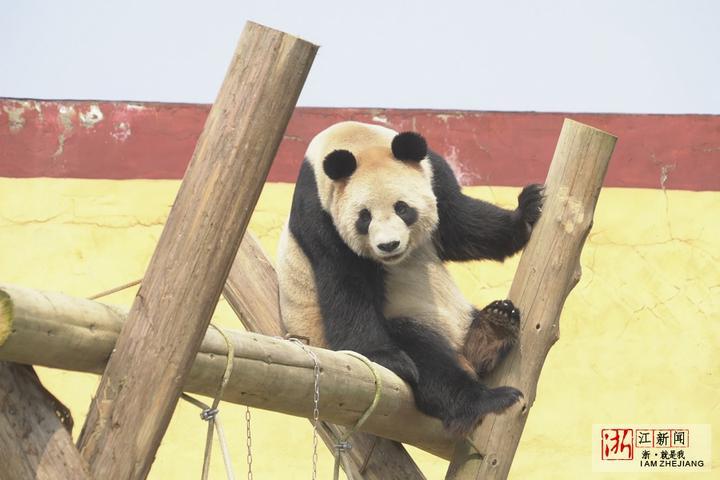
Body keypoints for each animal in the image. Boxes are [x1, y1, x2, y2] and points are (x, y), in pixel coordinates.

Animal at [278, 121, 544, 436]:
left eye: (402, 208)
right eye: (364, 217)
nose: (388, 245)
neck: (355, 141)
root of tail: (463, 354)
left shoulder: (434, 174)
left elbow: (462, 224)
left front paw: (528, 209)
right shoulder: (319, 214)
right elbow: (344, 284)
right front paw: (387, 359)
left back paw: (494, 325)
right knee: (423, 353)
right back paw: (483, 398)